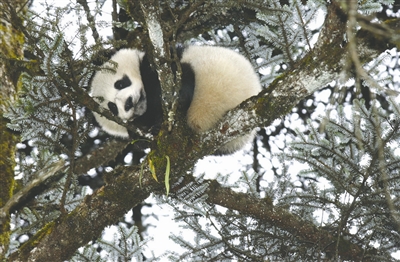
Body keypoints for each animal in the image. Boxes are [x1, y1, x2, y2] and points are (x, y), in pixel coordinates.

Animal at [89, 46, 260, 155]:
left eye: (120, 84)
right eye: (112, 107)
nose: (129, 103)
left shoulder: (159, 60)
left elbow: (162, 70)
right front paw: (142, 135)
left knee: (184, 73)